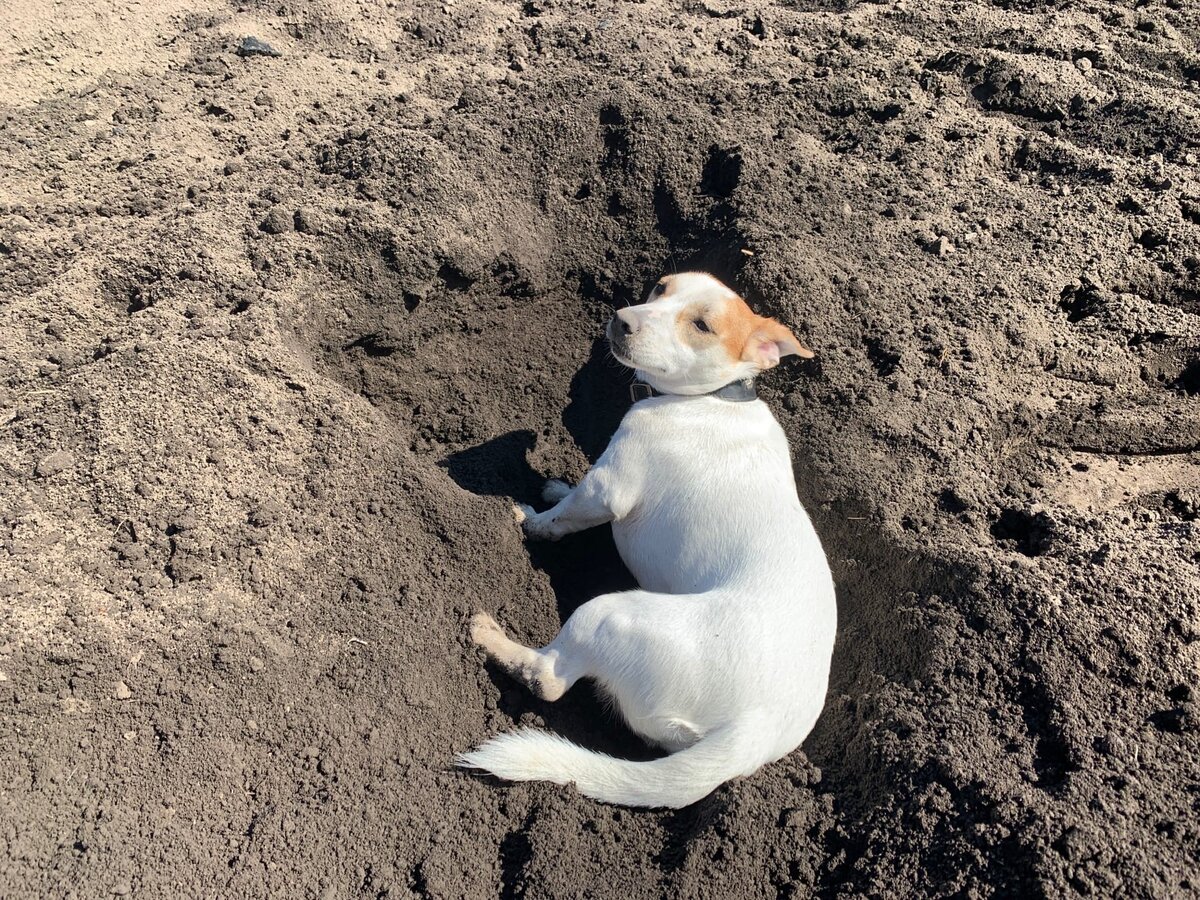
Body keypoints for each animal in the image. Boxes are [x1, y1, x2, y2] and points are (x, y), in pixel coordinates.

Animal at [456, 271, 835, 806]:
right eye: (660, 288)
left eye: (701, 325)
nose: (622, 319)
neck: (711, 398)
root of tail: (751, 733)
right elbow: (567, 497)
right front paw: (554, 487)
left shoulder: (608, 485)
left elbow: (563, 518)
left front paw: (530, 519)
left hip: (609, 613)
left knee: (548, 678)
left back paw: (490, 637)